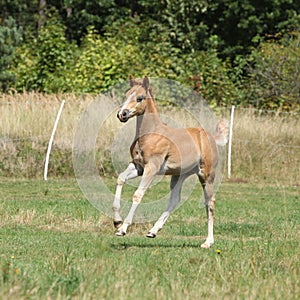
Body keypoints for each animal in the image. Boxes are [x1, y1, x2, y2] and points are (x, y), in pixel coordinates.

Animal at [112, 75, 227, 248]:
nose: (122, 114)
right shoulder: (138, 167)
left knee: (210, 202)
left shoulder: (151, 168)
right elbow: (120, 178)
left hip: (206, 175)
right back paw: (153, 231)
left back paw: (208, 242)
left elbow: (138, 194)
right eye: (126, 95)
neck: (150, 133)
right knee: (175, 200)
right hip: (179, 175)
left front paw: (123, 229)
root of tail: (211, 137)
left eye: (140, 98)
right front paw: (117, 221)